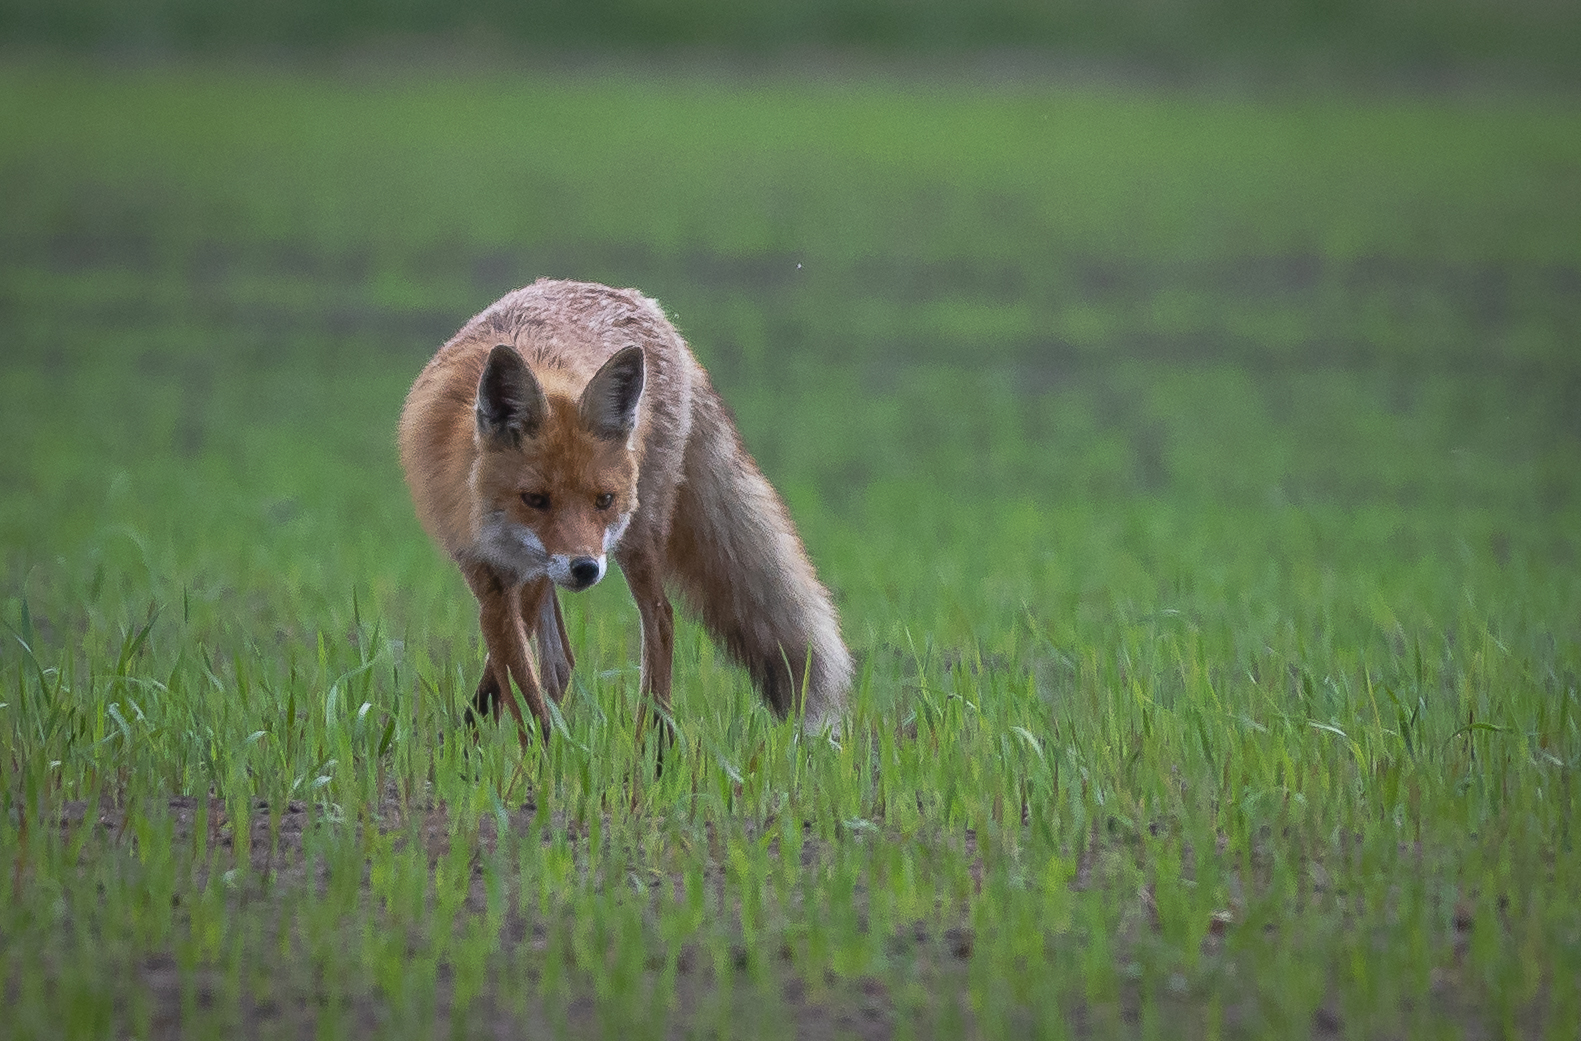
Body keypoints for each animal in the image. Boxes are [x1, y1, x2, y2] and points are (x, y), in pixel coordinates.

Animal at [401, 280, 860, 740]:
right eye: (535, 500)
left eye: (604, 500)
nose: (585, 568)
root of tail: (643, 301)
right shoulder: (491, 573)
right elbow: (515, 675)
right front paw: (491, 746)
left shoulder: (530, 574)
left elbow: (518, 686)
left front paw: (532, 754)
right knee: (562, 663)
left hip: (639, 534)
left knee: (660, 619)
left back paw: (652, 744)